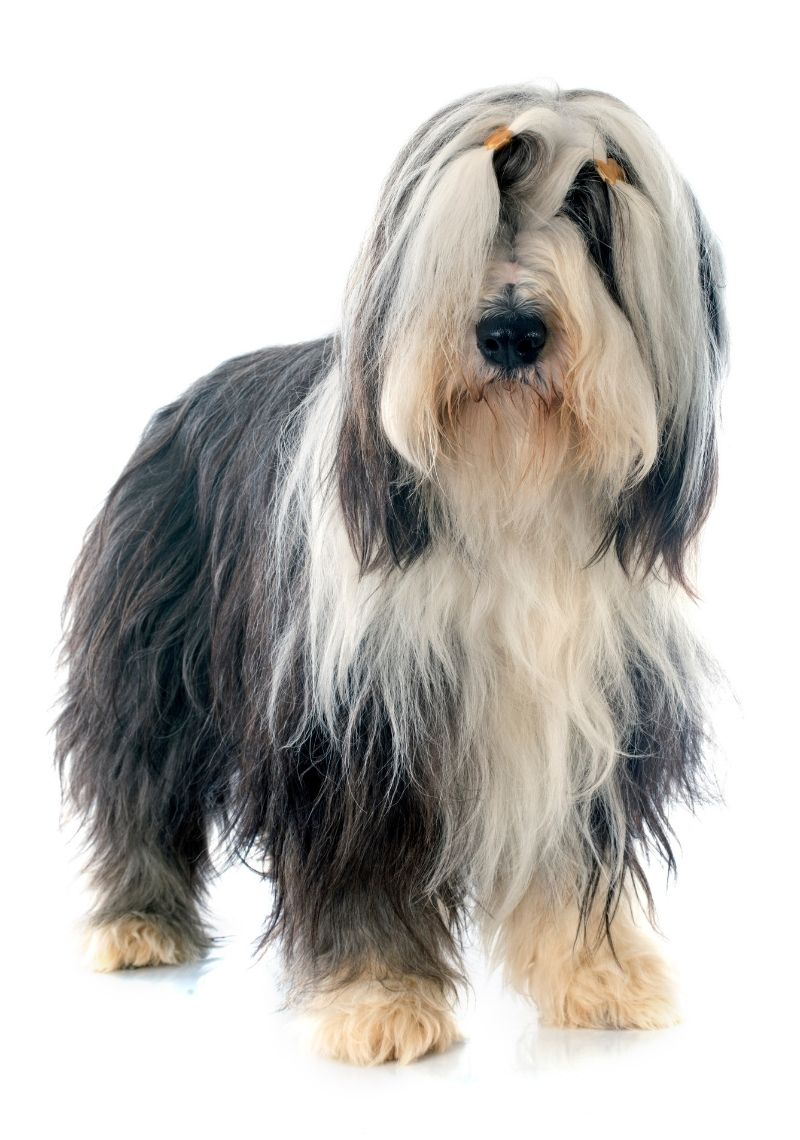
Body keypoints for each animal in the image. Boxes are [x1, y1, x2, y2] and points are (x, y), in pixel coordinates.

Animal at [56, 84, 729, 1062]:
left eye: (590, 205)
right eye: (472, 211)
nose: (511, 331)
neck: (506, 498)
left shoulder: (587, 708)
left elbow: (572, 860)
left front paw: (598, 978)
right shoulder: (355, 726)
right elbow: (364, 870)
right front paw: (381, 1000)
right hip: (153, 660)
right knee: (138, 783)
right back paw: (137, 924)